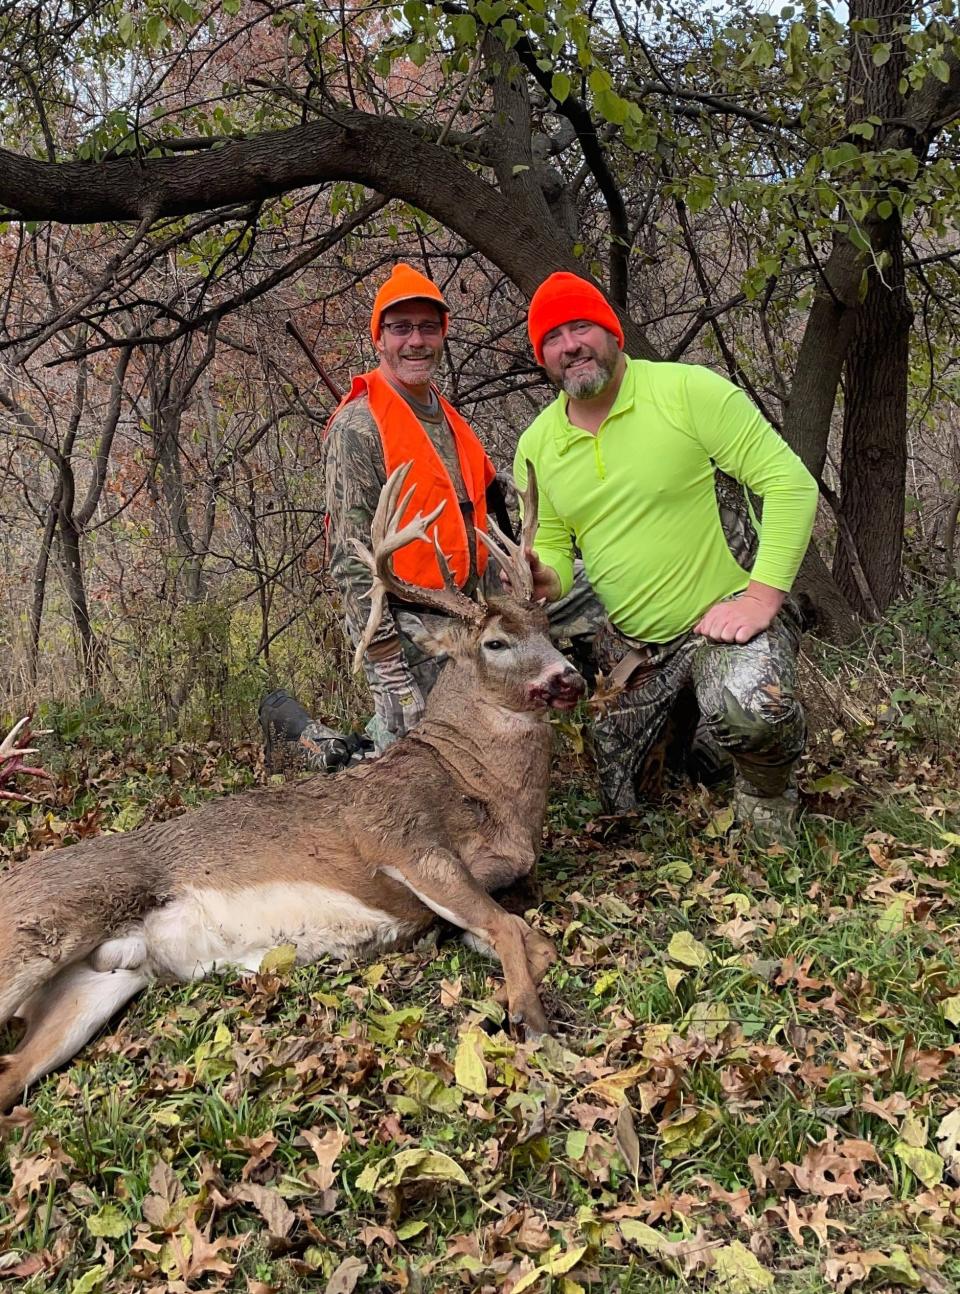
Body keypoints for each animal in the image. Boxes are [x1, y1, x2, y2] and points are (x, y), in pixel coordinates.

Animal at [0, 465, 582, 1112]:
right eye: (495, 642)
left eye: (548, 627)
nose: (570, 678)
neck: (479, 785)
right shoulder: (405, 842)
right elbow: (511, 929)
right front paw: (532, 1021)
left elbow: (529, 937)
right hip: (42, 928)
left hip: (98, 982)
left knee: (11, 1071)